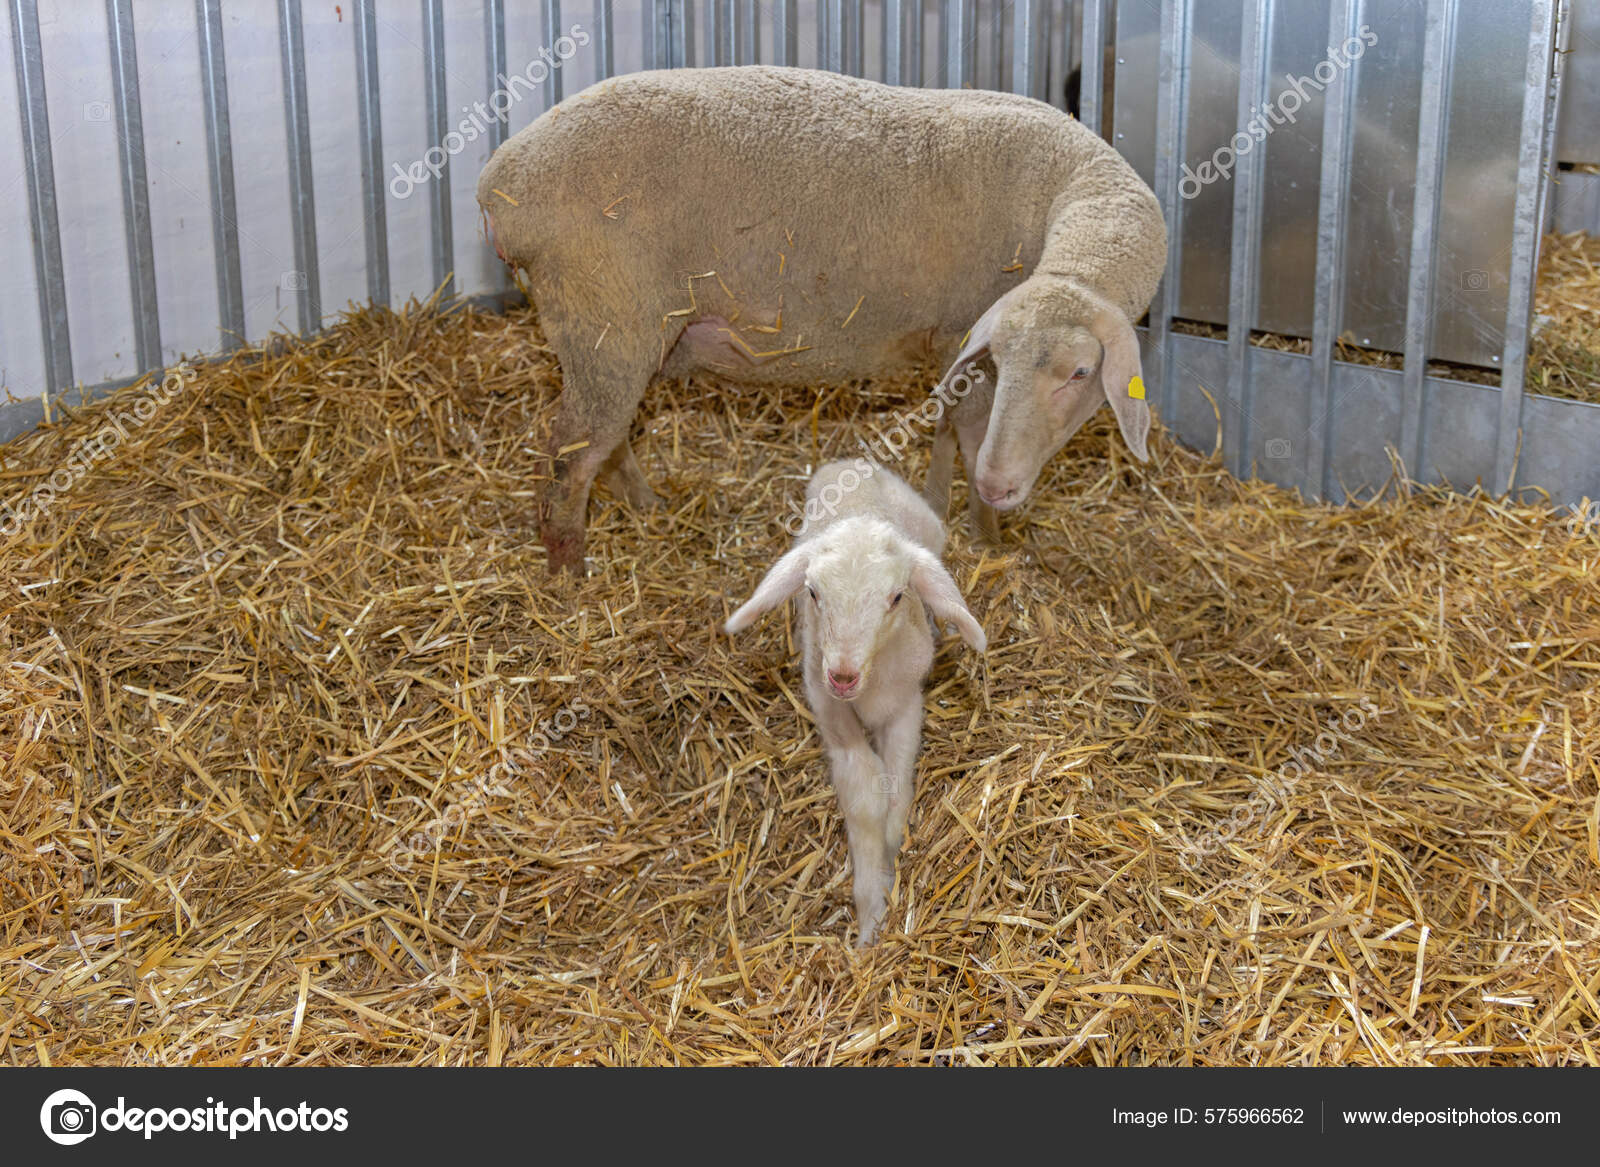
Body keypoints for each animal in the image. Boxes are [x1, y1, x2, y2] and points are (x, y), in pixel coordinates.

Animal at [477, 65, 1167, 571]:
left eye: (1080, 373)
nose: (1002, 486)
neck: (1072, 197)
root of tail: (499, 183)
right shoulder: (965, 340)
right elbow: (971, 437)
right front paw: (987, 537)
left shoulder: (959, 345)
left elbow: (950, 431)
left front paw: (944, 508)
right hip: (605, 319)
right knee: (571, 456)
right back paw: (571, 573)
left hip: (618, 338)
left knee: (607, 438)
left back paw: (646, 506)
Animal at [724, 459, 986, 946]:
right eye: (812, 592)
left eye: (897, 597)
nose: (842, 675)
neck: (869, 688)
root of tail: (851, 463)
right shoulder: (829, 711)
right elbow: (865, 794)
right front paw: (871, 915)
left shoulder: (906, 706)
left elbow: (897, 793)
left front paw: (892, 854)